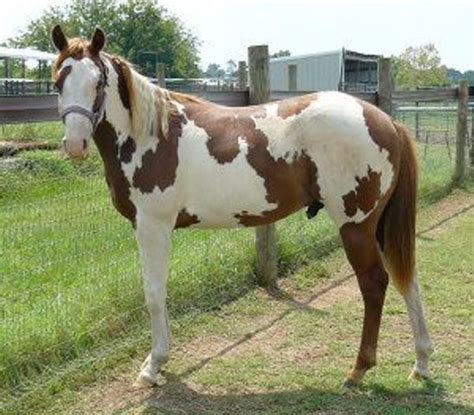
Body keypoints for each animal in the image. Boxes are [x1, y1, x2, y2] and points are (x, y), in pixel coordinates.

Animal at [51, 26, 434, 390]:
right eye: (57, 82)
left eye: (98, 81)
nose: (75, 144)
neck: (150, 136)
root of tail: (386, 121)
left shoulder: (153, 226)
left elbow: (154, 293)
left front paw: (153, 365)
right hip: (379, 225)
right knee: (408, 278)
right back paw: (421, 362)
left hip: (355, 225)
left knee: (375, 283)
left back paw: (358, 370)